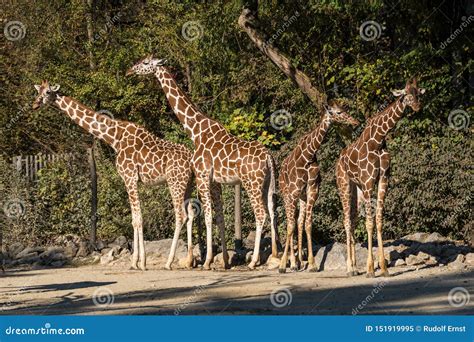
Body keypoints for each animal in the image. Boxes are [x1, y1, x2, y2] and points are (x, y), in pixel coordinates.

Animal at [32, 79, 196, 270]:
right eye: (38, 92)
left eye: (48, 92)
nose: (35, 104)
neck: (114, 138)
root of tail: (191, 160)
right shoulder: (133, 180)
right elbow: (135, 218)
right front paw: (137, 262)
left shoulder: (129, 177)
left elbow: (138, 219)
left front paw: (139, 262)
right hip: (188, 183)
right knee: (191, 213)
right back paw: (190, 261)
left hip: (175, 182)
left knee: (181, 215)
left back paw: (169, 262)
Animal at [128, 56, 280, 270]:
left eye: (146, 63)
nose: (130, 70)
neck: (196, 131)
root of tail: (268, 157)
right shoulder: (215, 182)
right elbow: (219, 217)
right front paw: (224, 261)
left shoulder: (202, 176)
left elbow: (207, 216)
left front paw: (208, 261)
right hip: (268, 183)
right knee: (272, 211)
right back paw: (276, 255)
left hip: (252, 183)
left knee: (261, 214)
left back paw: (254, 262)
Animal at [278, 101, 360, 272]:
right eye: (338, 112)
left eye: (343, 109)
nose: (355, 122)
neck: (308, 155)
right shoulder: (293, 191)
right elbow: (290, 226)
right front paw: (284, 265)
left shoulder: (312, 190)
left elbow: (307, 224)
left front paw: (312, 264)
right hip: (286, 194)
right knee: (290, 223)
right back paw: (291, 264)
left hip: (301, 197)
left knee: (298, 222)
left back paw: (299, 262)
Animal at [336, 79, 426, 276]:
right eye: (406, 94)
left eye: (418, 94)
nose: (417, 107)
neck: (378, 140)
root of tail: (339, 160)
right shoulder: (369, 182)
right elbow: (369, 223)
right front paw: (370, 269)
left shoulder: (384, 179)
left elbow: (379, 221)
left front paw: (383, 268)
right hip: (344, 185)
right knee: (346, 221)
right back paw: (349, 268)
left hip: (357, 190)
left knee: (352, 220)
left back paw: (355, 267)